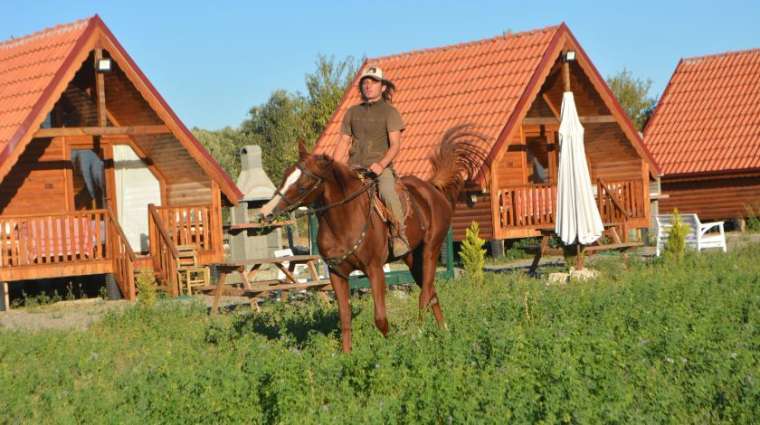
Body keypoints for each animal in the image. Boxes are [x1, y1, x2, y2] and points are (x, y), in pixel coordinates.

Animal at [260, 125, 486, 352]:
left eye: (303, 185)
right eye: (285, 176)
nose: (266, 212)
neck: (343, 221)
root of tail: (432, 188)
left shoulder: (375, 269)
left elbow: (380, 319)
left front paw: (390, 347)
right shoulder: (337, 273)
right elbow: (345, 318)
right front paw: (347, 355)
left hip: (430, 249)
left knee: (425, 294)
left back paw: (421, 333)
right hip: (412, 258)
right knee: (431, 293)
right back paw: (443, 333)